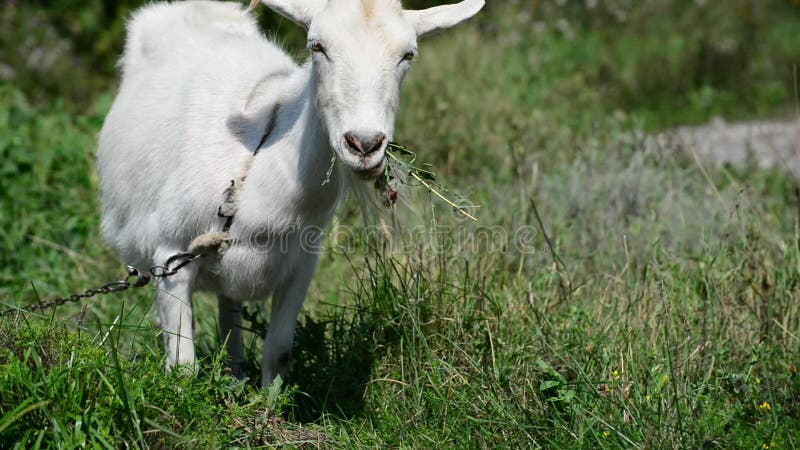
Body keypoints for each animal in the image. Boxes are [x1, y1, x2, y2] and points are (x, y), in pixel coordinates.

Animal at [94, 0, 482, 386]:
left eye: (408, 54)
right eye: (317, 47)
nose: (364, 144)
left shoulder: (300, 267)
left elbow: (278, 355)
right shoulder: (171, 257)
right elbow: (183, 367)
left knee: (229, 310)